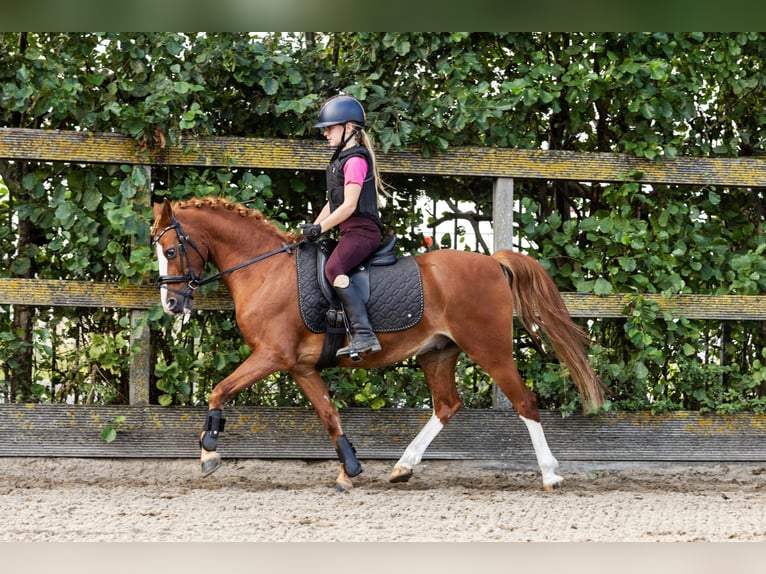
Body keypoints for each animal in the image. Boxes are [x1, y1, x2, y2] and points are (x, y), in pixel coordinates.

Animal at [150, 197, 608, 490]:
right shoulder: (300, 366)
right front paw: (349, 470)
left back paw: (550, 475)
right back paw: (403, 467)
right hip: (437, 353)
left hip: (489, 349)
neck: (265, 271)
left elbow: (220, 389)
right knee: (447, 405)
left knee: (524, 401)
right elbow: (329, 415)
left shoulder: (272, 355)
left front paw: (209, 452)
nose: (172, 303)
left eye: (170, 250)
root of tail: (493, 262)